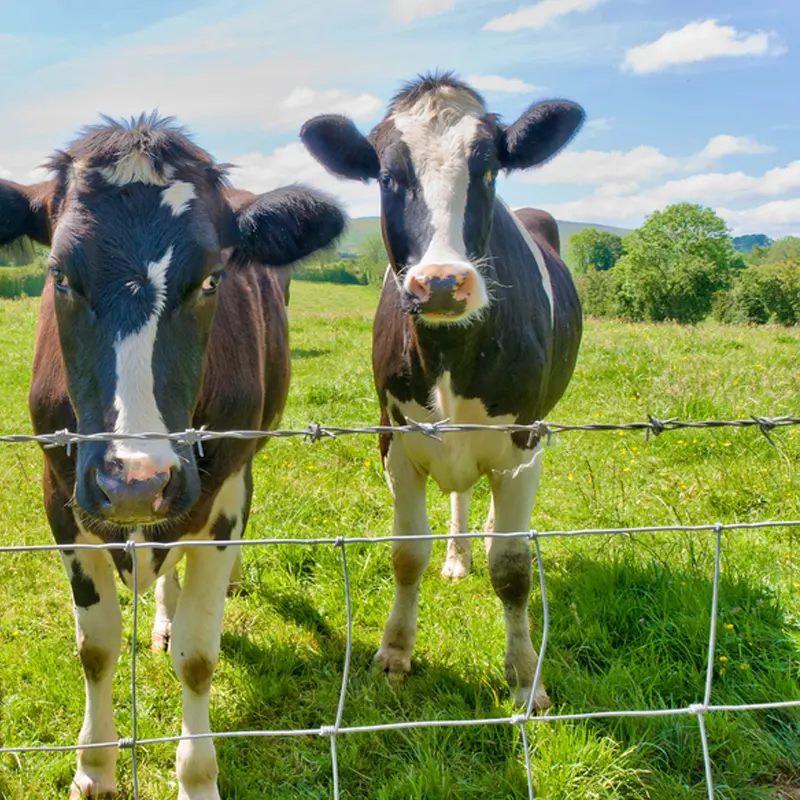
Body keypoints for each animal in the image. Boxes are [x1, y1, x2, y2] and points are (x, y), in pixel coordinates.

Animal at [0, 114, 344, 800]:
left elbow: (199, 654)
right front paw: (95, 769)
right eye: (60, 276)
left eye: (211, 278)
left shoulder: (219, 497)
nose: (136, 480)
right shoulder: (60, 493)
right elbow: (97, 647)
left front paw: (197, 779)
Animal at [300, 73, 580, 712]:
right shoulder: (395, 438)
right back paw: (457, 557)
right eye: (386, 176)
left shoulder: (524, 444)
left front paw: (526, 678)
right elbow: (407, 554)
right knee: (459, 495)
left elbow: (512, 566)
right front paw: (395, 652)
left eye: (489, 170)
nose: (444, 283)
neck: (450, 354)